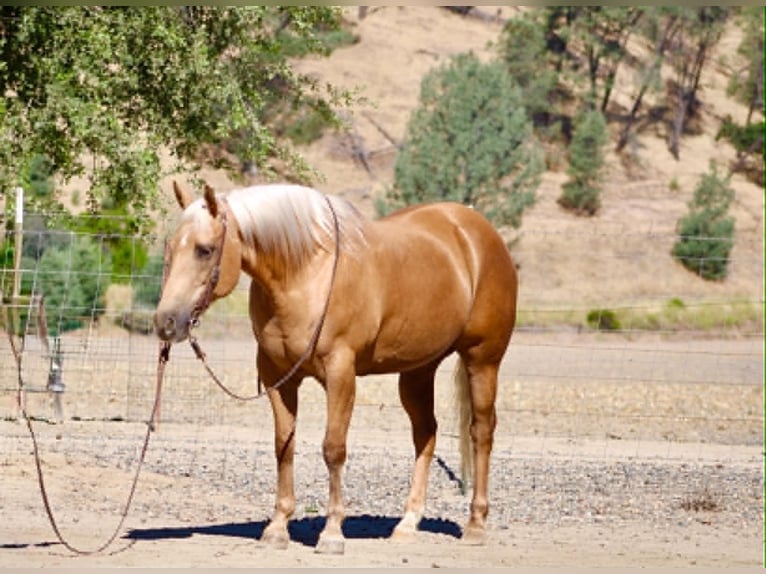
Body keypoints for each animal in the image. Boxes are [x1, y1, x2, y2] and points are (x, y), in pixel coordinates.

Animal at [154, 181, 517, 554]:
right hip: (418, 370)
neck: (305, 275)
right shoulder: (277, 378)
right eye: (171, 247)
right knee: (426, 433)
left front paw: (331, 533)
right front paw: (277, 527)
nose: (166, 322)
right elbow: (284, 445)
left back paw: (475, 524)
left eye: (205, 250)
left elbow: (333, 448)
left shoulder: (340, 374)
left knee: (481, 432)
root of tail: (475, 229)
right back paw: (407, 524)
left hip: (482, 360)